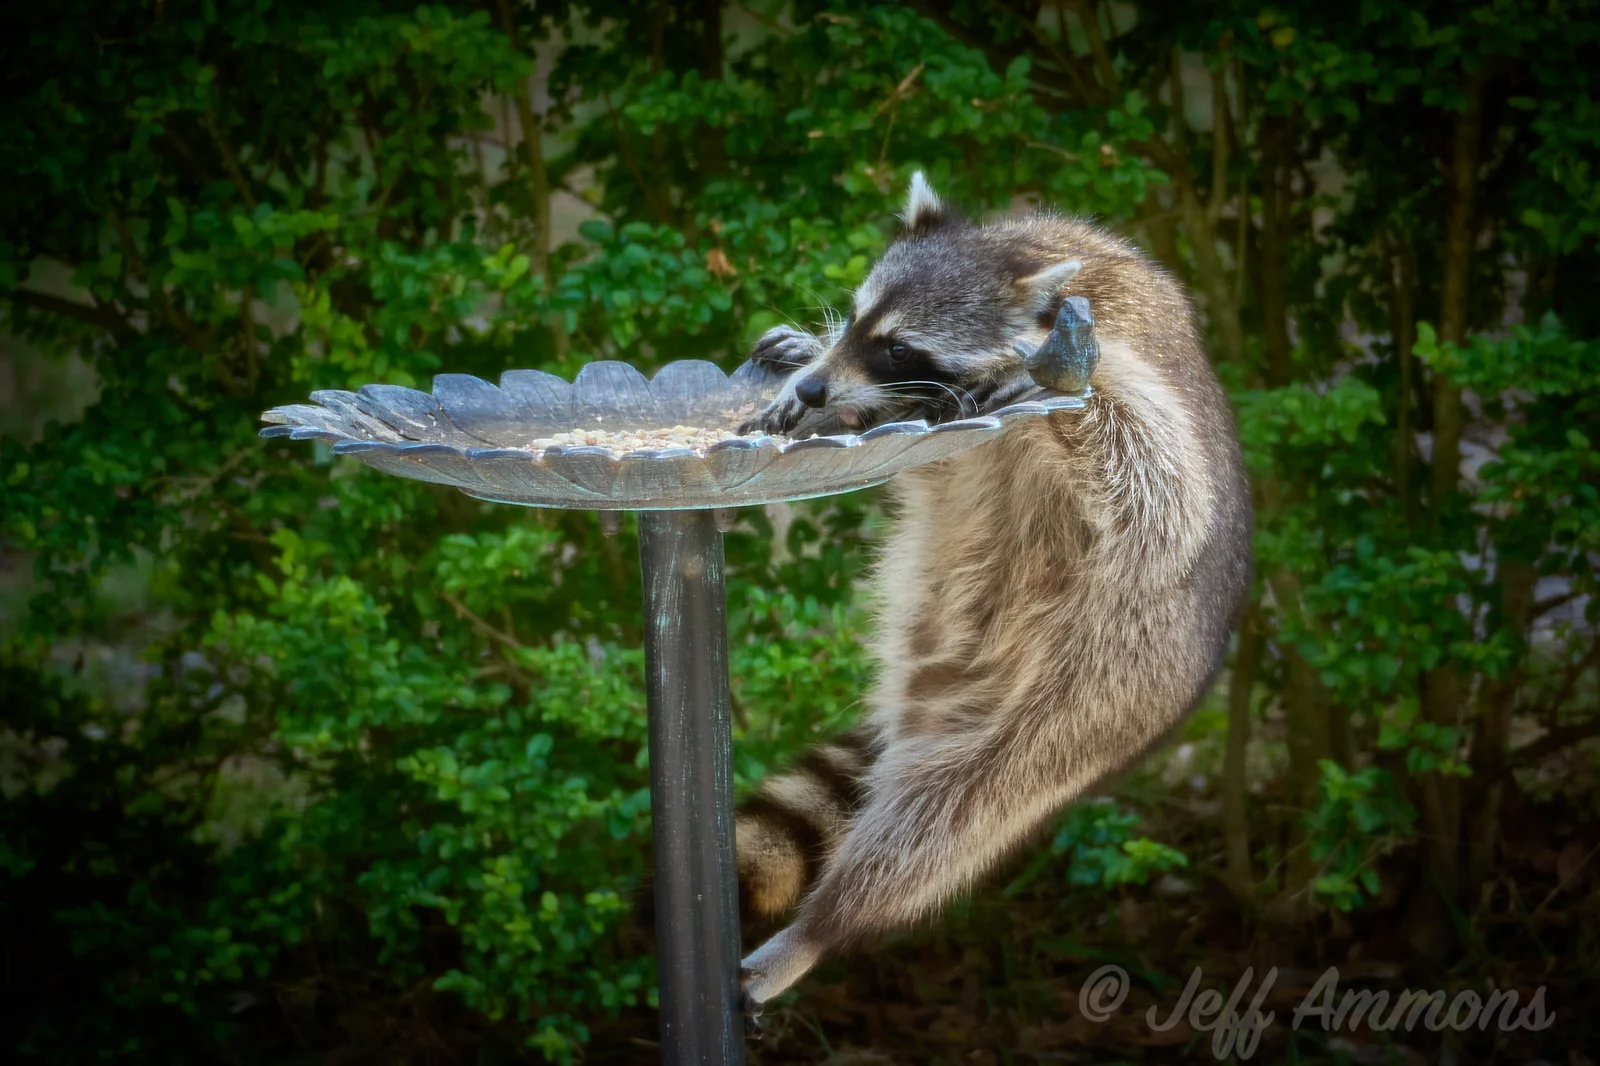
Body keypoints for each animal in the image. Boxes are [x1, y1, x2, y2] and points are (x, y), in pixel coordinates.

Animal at [735, 173, 1253, 1013]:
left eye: (899, 346)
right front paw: (808, 359)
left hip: (1092, 700)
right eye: (858, 315)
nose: (814, 386)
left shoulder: (1141, 382)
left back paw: (823, 927)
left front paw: (1059, 380)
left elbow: (1155, 466)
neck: (1019, 251)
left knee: (941, 826)